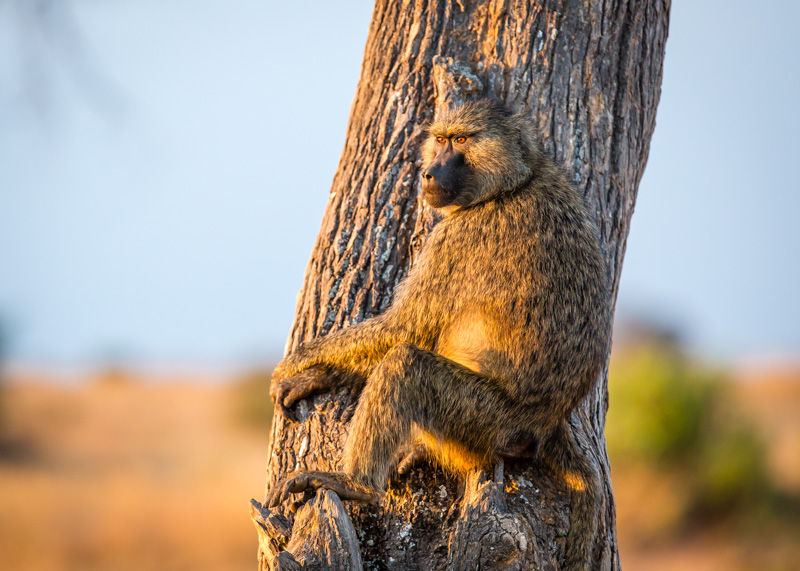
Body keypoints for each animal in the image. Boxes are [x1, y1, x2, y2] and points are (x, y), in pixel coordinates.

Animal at [267, 100, 611, 570]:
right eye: (442, 139)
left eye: (462, 140)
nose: (429, 173)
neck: (517, 182)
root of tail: (546, 424)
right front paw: (315, 376)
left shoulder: (458, 236)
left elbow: (404, 326)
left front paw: (294, 365)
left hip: (489, 422)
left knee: (405, 364)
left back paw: (356, 485)